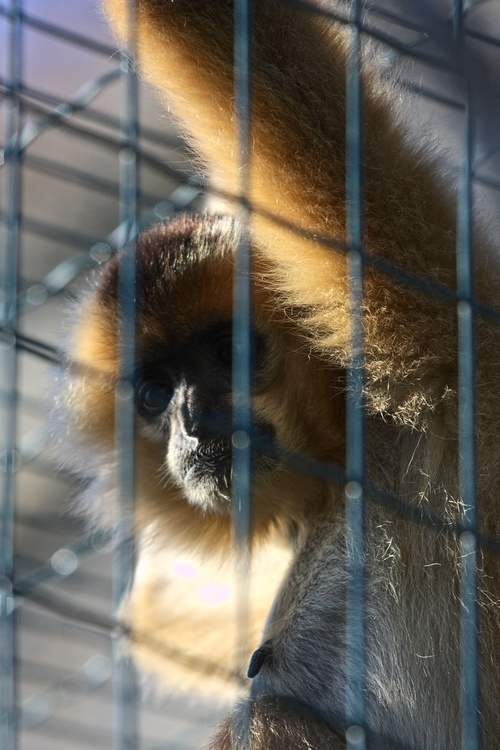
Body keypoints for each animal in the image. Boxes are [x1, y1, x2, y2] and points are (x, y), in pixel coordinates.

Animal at [53, 0, 500, 747]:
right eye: (154, 393)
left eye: (231, 352)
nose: (193, 421)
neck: (355, 462)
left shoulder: (432, 345)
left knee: (266, 713)